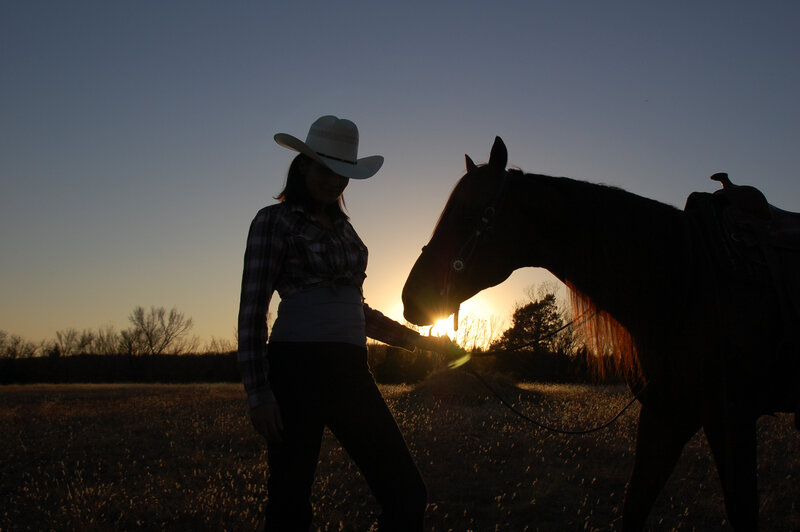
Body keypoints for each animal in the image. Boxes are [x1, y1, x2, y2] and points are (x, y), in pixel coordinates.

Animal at [402, 136, 799, 530]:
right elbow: (635, 505)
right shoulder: (665, 415)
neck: (687, 278)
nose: (410, 298)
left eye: (470, 213)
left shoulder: (731, 419)